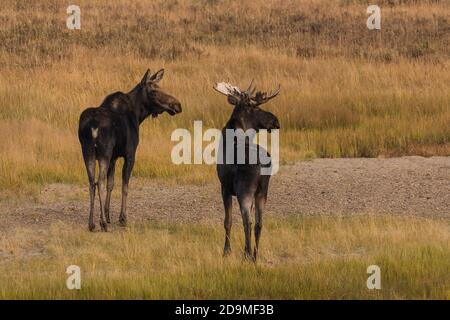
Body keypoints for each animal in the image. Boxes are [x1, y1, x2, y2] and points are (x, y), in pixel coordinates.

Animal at [78, 69, 182, 231]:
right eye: (154, 91)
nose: (177, 105)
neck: (139, 115)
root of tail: (93, 126)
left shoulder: (114, 157)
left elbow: (111, 184)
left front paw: (107, 215)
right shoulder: (130, 154)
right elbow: (125, 186)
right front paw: (122, 218)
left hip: (87, 151)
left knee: (91, 183)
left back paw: (91, 223)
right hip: (103, 153)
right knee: (99, 182)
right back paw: (102, 223)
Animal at [213, 81, 280, 262]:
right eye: (255, 107)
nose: (276, 121)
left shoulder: (225, 188)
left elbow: (227, 221)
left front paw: (226, 251)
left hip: (245, 190)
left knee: (247, 221)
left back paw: (248, 254)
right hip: (262, 191)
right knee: (259, 223)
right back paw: (255, 255)